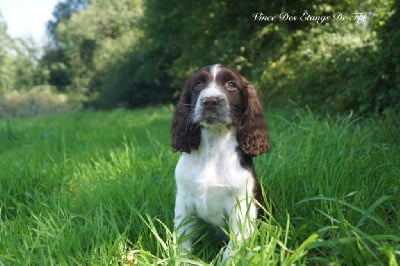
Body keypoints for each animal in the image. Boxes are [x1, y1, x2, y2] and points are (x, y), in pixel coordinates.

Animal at [170, 64, 270, 260]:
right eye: (198, 85)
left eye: (231, 85)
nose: (210, 101)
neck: (213, 146)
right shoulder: (183, 201)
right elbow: (182, 242)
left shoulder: (242, 207)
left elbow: (232, 249)